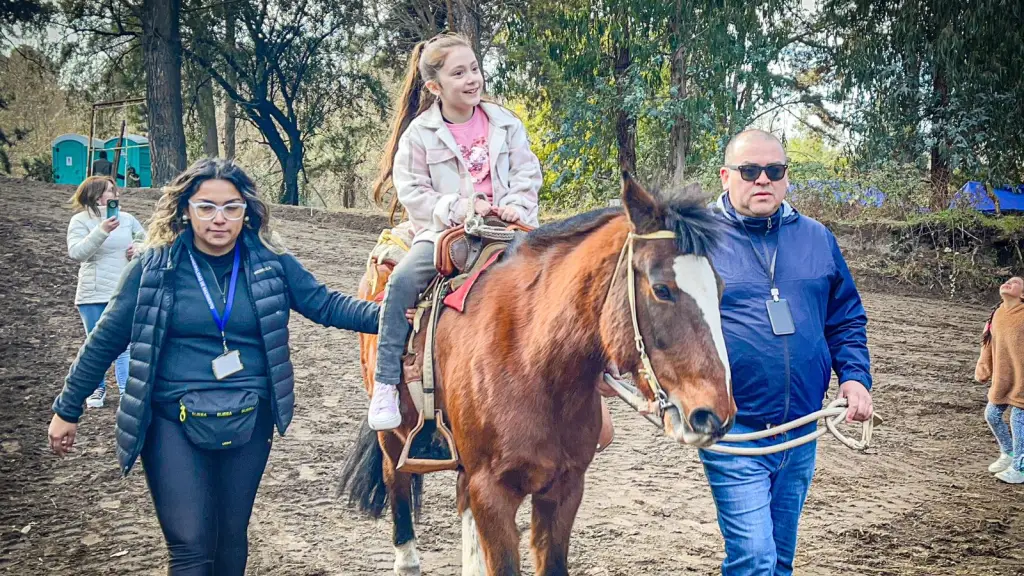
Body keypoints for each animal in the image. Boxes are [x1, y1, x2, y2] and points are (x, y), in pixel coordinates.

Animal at [342, 172, 737, 569]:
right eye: (661, 289)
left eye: (719, 289)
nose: (713, 414)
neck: (535, 365)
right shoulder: (492, 494)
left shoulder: (564, 488)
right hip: (393, 440)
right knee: (396, 481)